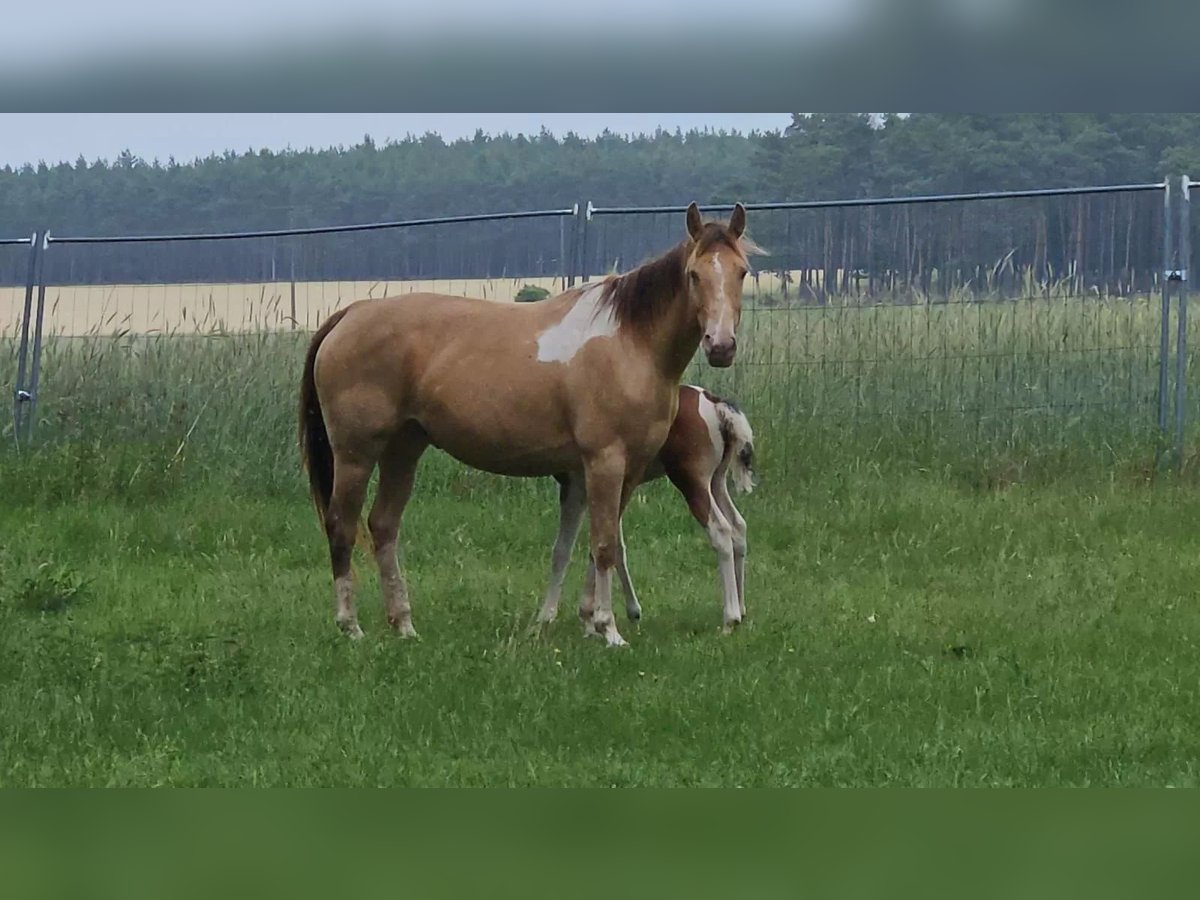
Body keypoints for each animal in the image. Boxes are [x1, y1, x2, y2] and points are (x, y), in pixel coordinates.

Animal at [537, 384, 755, 632]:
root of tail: (712, 401)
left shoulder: (576, 489)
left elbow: (563, 549)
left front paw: (547, 616)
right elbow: (615, 547)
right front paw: (631, 611)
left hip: (692, 481)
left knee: (721, 531)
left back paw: (730, 618)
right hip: (716, 482)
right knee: (738, 526)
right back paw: (741, 608)